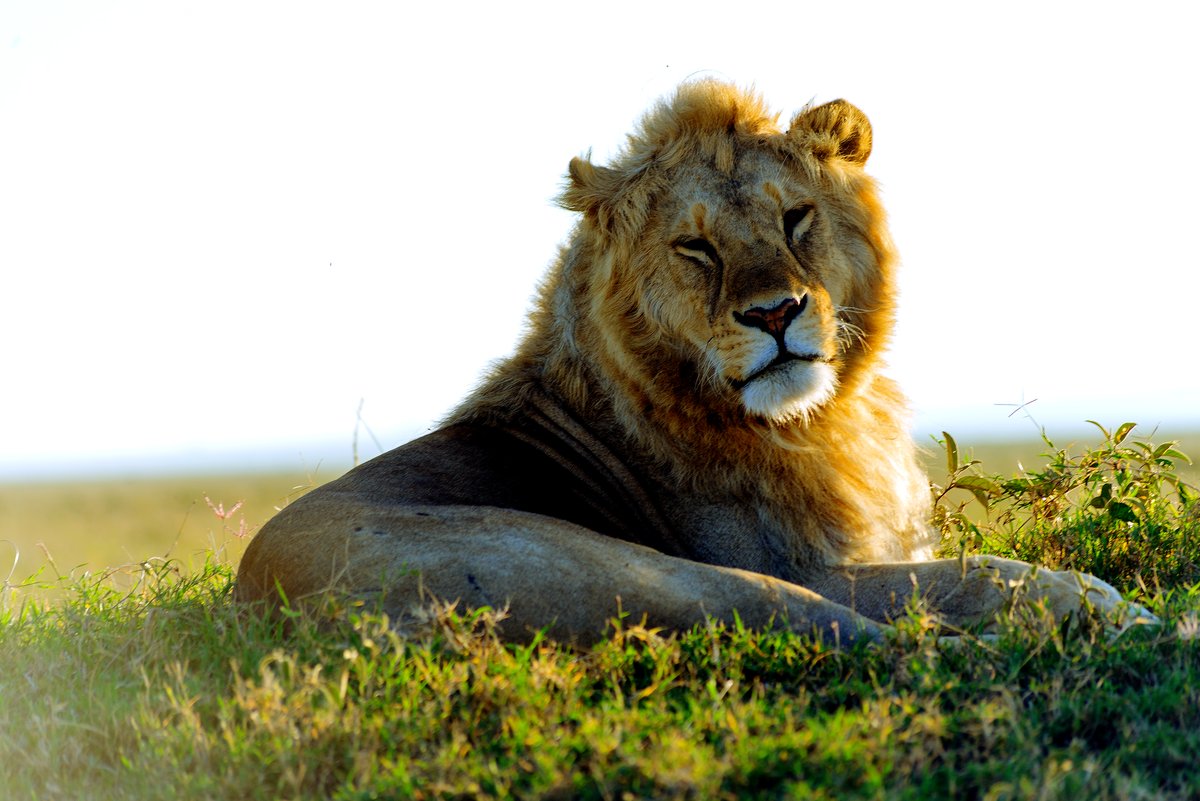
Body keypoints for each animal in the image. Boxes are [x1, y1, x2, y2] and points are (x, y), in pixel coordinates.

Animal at [236, 81, 1148, 645]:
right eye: (697, 248)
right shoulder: (799, 561)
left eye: (795, 217)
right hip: (644, 570)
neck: (825, 417)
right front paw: (1093, 597)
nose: (776, 312)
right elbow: (967, 572)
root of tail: (264, 605)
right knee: (857, 631)